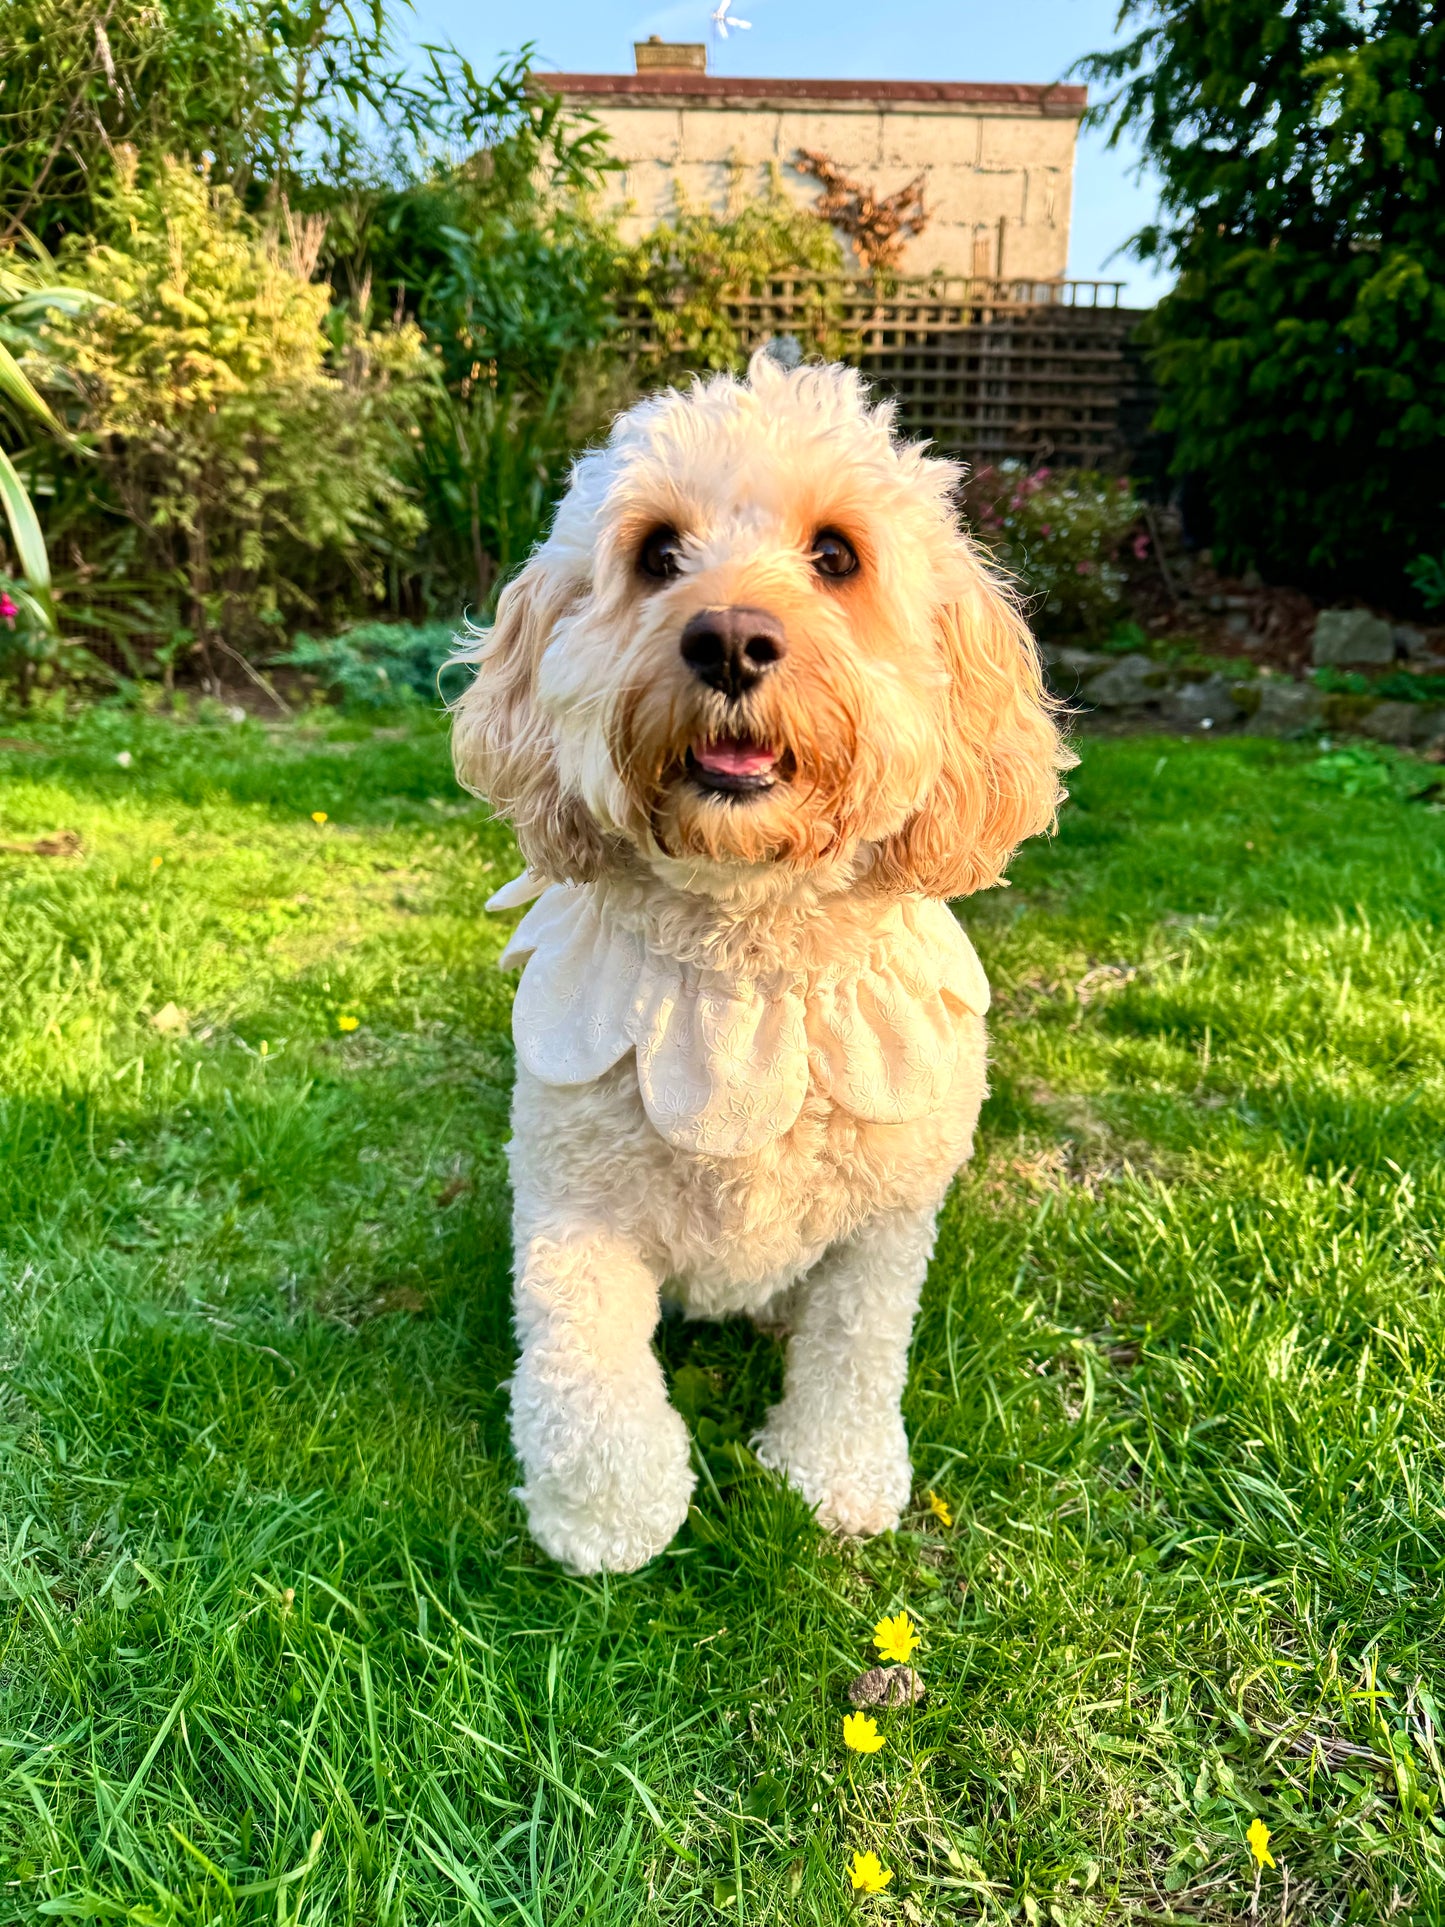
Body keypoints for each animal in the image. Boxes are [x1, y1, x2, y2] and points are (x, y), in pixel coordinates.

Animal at [458, 354, 1071, 1572]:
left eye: (834, 555)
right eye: (656, 553)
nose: (730, 638)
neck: (748, 966)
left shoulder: (884, 1225)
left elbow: (854, 1354)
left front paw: (835, 1479)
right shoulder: (571, 1197)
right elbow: (585, 1360)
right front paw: (603, 1516)